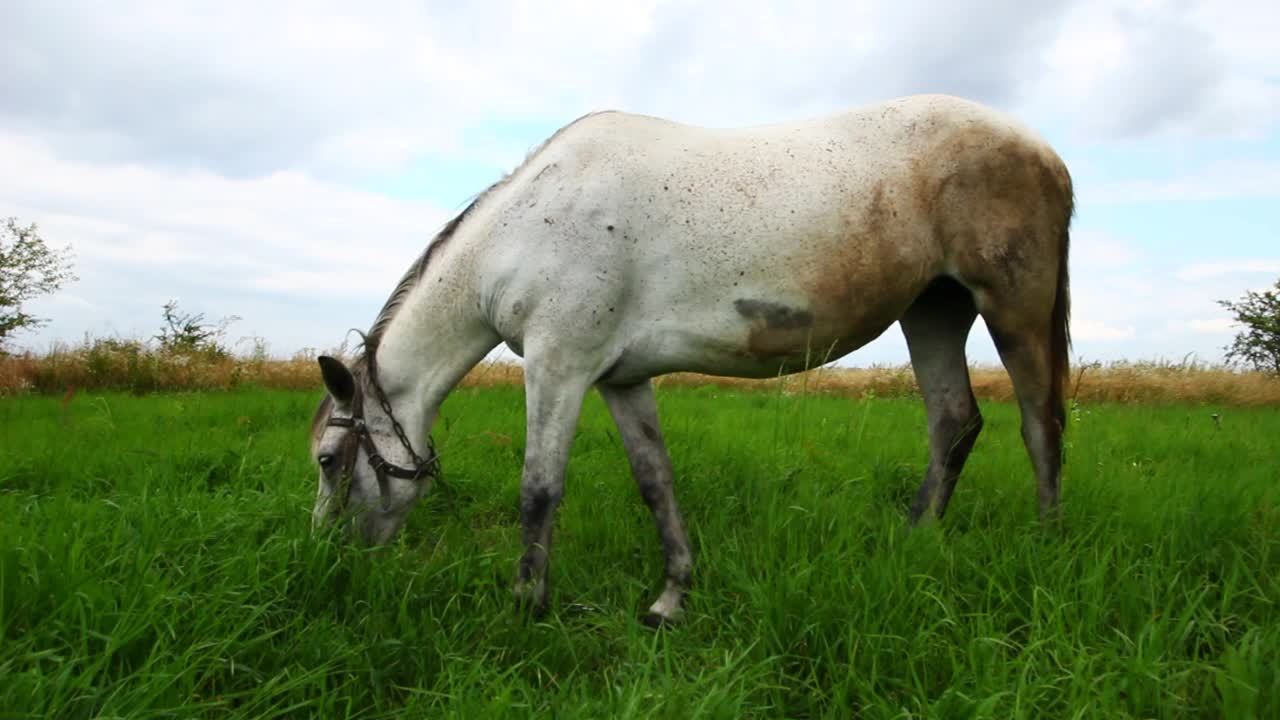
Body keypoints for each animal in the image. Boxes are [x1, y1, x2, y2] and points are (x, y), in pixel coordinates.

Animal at [309, 94, 1070, 622]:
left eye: (326, 459)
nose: (327, 562)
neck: (528, 228)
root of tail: (1043, 151)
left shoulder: (558, 366)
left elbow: (538, 490)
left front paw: (525, 605)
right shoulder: (620, 379)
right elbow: (656, 482)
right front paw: (672, 598)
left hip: (1013, 307)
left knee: (1041, 424)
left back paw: (1044, 548)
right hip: (934, 311)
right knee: (953, 423)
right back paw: (911, 542)